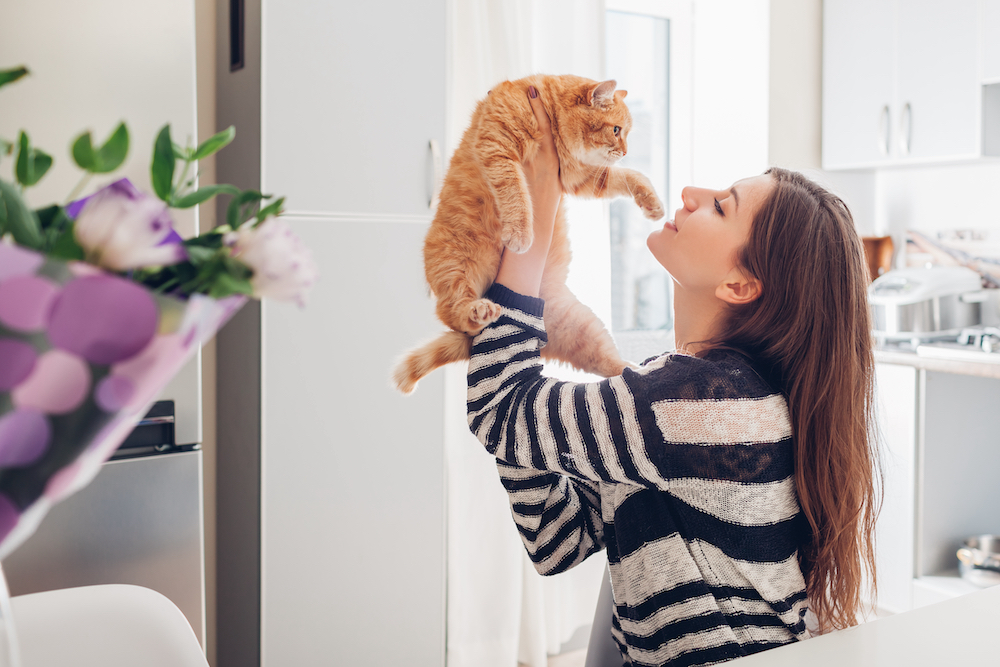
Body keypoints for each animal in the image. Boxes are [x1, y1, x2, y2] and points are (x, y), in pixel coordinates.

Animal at [390, 75, 664, 394]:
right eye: (617, 130)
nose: (625, 152)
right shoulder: (499, 148)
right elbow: (515, 193)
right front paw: (521, 233)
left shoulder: (581, 178)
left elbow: (631, 176)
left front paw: (654, 204)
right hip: (455, 267)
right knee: (454, 312)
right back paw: (478, 311)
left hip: (585, 328)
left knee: (611, 364)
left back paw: (641, 370)